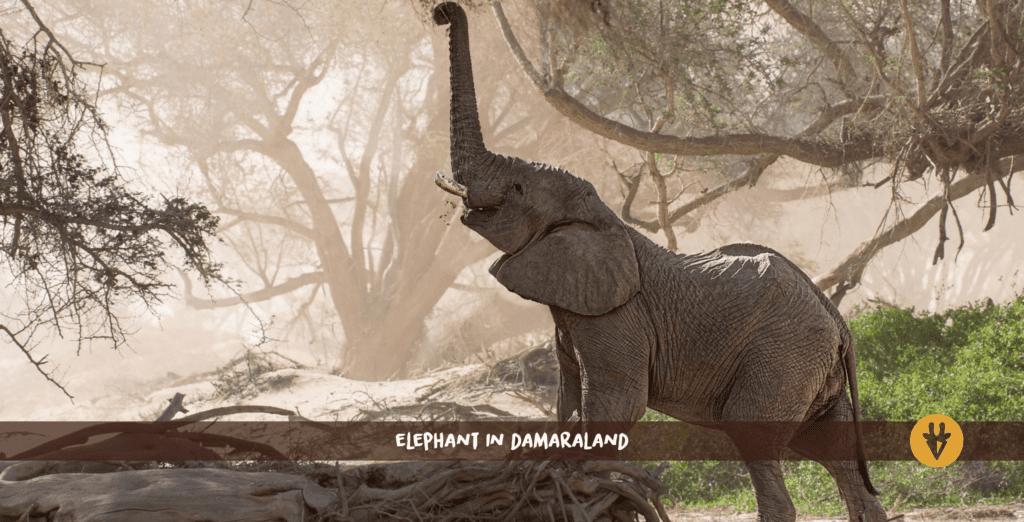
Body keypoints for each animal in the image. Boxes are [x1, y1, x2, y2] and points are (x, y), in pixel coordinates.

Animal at [431, 3, 889, 521]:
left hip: (783, 356)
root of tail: (839, 321)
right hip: (810, 367)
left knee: (756, 438)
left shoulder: (618, 316)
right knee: (835, 453)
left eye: (517, 189)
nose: (441, 12)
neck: (604, 218)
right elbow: (567, 402)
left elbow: (616, 407)